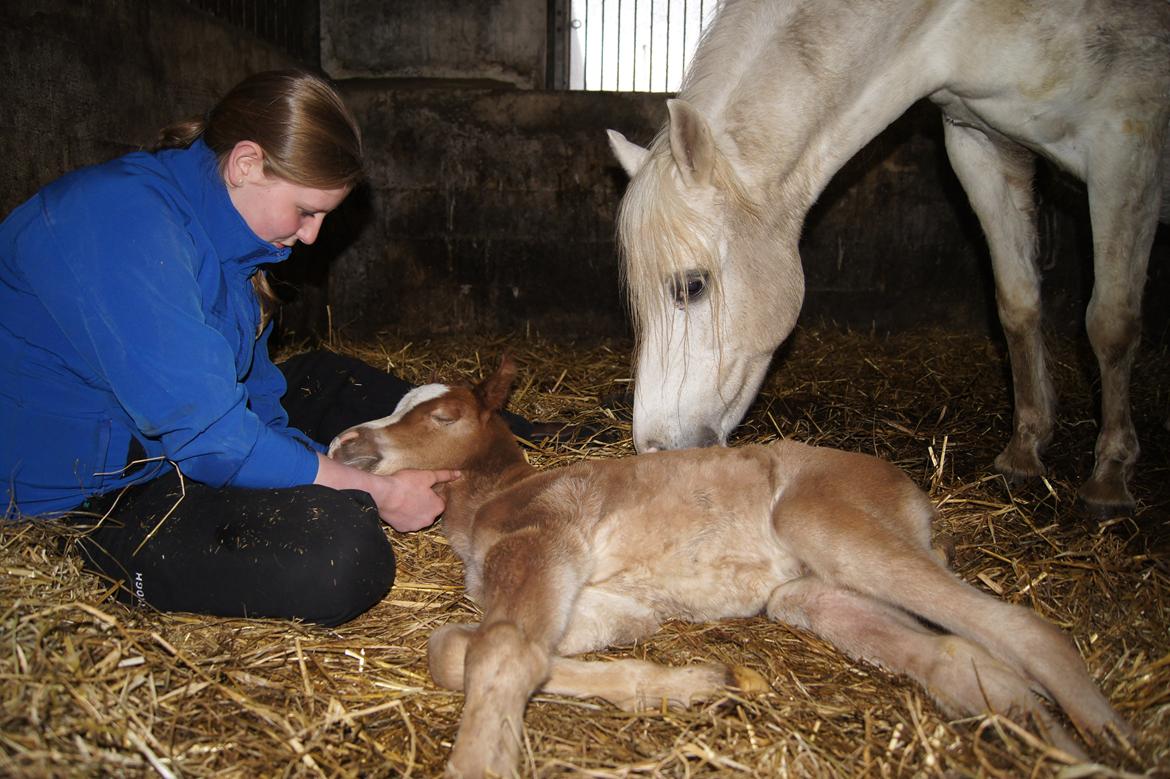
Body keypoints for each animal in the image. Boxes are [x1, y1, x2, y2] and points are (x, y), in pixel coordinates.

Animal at [329, 356, 1130, 779]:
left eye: (445, 416)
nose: (344, 443)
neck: (495, 501)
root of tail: (912, 497)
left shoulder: (547, 538)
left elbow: (500, 651)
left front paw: (478, 761)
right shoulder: (611, 604)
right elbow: (459, 648)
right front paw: (693, 683)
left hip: (827, 522)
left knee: (1023, 628)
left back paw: (1107, 738)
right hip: (813, 596)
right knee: (959, 656)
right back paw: (1057, 748)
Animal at [606, 0, 1170, 517]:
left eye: (691, 285)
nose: (653, 452)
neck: (962, 20)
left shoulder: (1126, 147)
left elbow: (1111, 323)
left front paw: (1110, 475)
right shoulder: (979, 145)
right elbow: (1018, 305)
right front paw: (1025, 450)